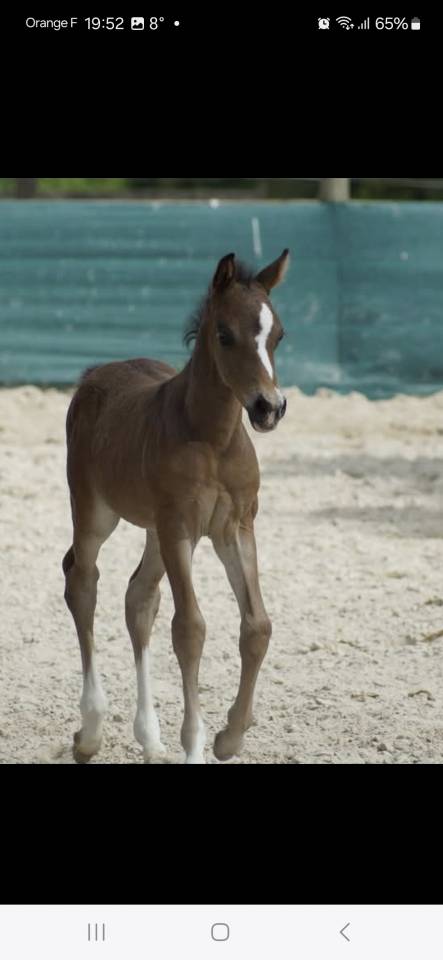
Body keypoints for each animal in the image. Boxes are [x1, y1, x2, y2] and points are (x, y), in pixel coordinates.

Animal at [63, 248, 289, 764]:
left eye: (279, 335)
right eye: (225, 334)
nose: (269, 408)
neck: (214, 438)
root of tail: (93, 375)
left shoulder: (235, 527)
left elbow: (257, 626)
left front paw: (230, 737)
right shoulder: (179, 527)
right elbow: (189, 629)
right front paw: (196, 744)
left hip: (153, 531)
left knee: (138, 597)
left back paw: (149, 738)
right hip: (96, 513)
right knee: (82, 580)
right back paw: (91, 729)